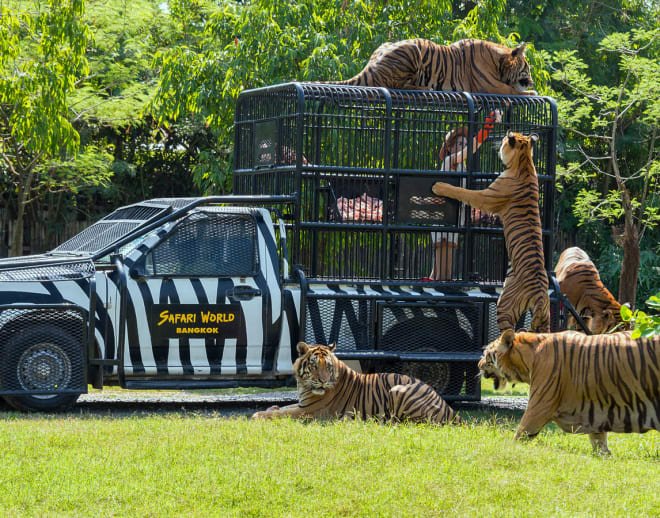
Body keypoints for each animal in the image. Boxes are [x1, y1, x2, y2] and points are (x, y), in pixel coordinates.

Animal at [251, 341, 459, 424]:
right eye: (314, 366)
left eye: (327, 367)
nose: (323, 381)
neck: (304, 385)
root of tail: (450, 410)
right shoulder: (302, 404)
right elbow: (283, 408)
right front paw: (272, 407)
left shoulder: (308, 410)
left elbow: (282, 414)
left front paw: (257, 415)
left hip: (398, 390)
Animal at [320, 38, 536, 95]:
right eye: (528, 68)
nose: (533, 82)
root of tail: (369, 65)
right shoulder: (491, 86)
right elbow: (513, 90)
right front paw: (532, 92)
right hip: (412, 51)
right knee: (394, 85)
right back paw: (425, 87)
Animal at [431, 131, 550, 332]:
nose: (501, 139)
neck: (525, 162)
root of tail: (540, 295)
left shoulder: (486, 197)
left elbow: (463, 191)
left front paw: (439, 186)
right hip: (545, 318)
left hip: (505, 304)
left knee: (508, 330)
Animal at [478, 329, 660, 454]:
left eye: (486, 354)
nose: (478, 365)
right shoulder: (597, 411)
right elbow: (599, 441)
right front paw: (605, 456)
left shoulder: (539, 406)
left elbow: (520, 433)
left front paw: (506, 449)